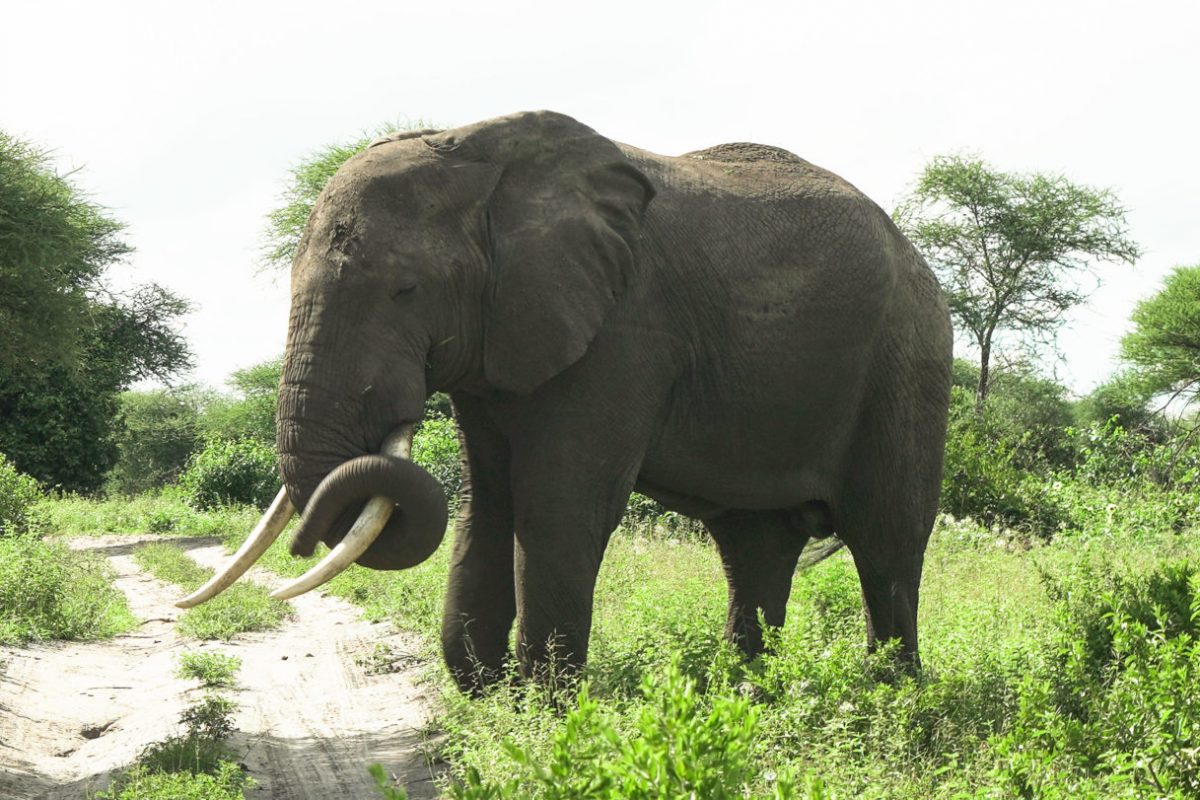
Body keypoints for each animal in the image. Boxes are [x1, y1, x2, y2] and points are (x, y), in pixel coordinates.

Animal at [180, 110, 945, 695]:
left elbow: (557, 505)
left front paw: (546, 710)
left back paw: (891, 698)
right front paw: (496, 696)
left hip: (906, 360)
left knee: (887, 539)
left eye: (404, 290)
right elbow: (486, 501)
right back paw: (747, 694)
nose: (300, 544)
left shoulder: (624, 328)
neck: (476, 154)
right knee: (754, 545)